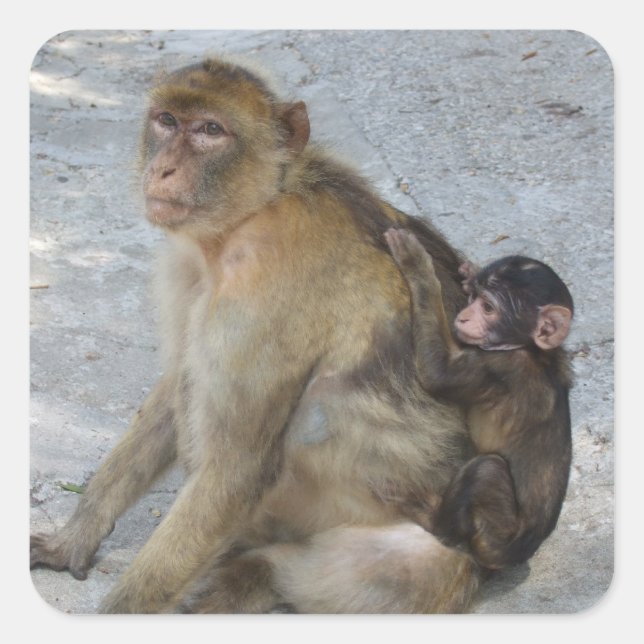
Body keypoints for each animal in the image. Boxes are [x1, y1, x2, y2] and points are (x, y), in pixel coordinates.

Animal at [31, 57, 479, 614]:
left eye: (210, 130)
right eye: (167, 121)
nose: (163, 169)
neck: (250, 215)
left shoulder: (265, 299)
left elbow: (236, 469)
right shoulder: (189, 271)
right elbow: (174, 384)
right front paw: (74, 537)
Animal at [384, 227, 573, 570]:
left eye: (488, 308)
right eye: (474, 299)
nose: (465, 316)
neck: (529, 350)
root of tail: (521, 551)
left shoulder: (500, 366)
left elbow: (437, 374)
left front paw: (417, 264)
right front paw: (469, 272)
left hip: (497, 533)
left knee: (486, 470)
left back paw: (431, 518)